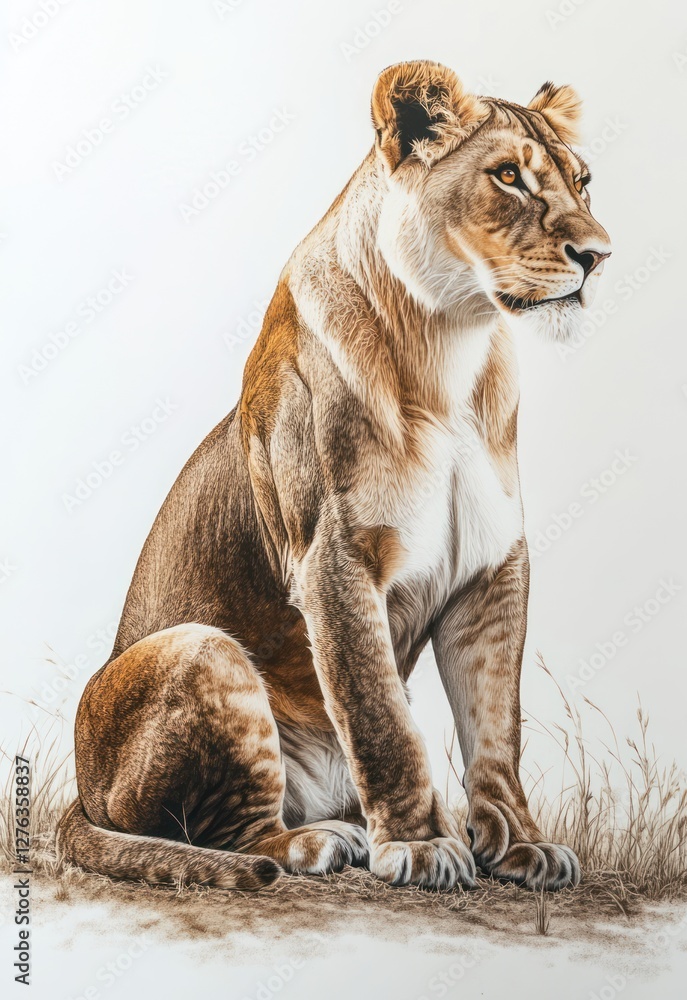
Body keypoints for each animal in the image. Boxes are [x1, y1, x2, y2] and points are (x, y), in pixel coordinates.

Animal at [57, 60, 611, 892]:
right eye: (508, 176)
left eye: (582, 181)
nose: (597, 254)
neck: (451, 346)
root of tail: (81, 792)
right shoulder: (336, 558)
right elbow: (381, 721)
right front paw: (419, 846)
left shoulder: (492, 568)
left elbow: (493, 724)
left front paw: (518, 846)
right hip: (200, 649)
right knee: (230, 832)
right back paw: (315, 842)